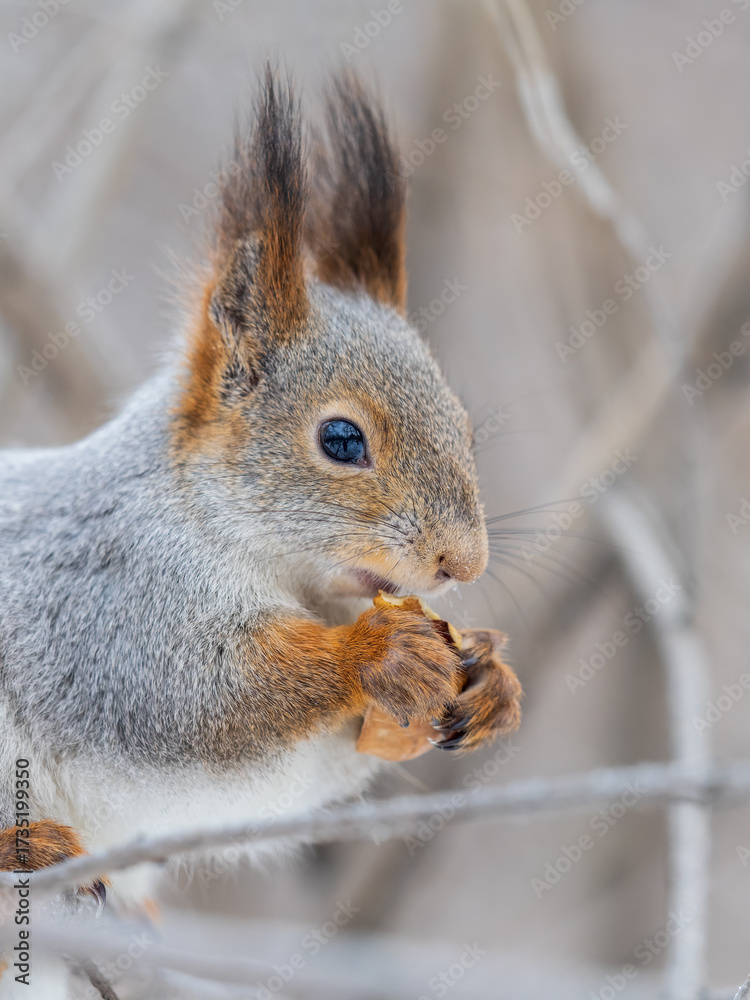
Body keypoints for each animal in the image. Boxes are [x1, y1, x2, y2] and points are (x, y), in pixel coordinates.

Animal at [0, 68, 522, 917]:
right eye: (340, 440)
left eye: (467, 426)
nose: (463, 564)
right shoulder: (114, 605)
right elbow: (200, 697)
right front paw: (371, 651)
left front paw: (490, 678)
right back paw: (29, 847)